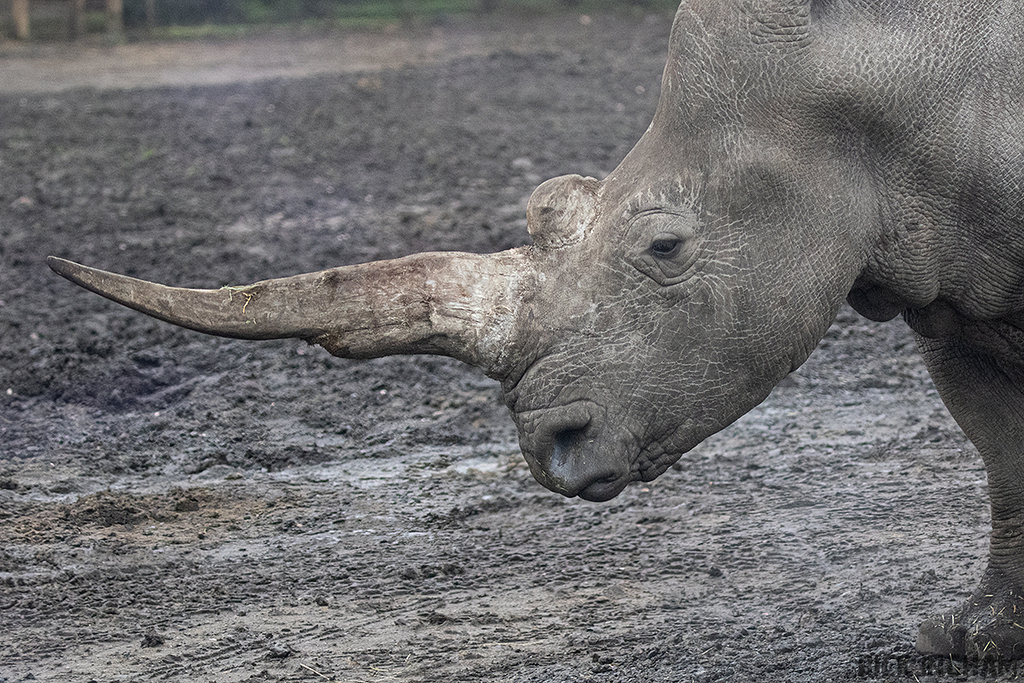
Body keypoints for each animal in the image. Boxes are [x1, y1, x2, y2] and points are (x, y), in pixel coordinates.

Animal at [48, 0, 1024, 661]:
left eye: (665, 247)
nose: (548, 445)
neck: (903, 84)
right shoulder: (948, 288)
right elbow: (1000, 449)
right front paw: (976, 637)